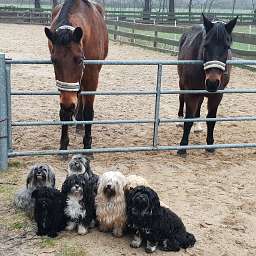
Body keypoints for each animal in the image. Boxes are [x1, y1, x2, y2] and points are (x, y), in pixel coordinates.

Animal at [44, 0, 108, 154]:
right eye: (54, 60)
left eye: (79, 60)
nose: (69, 105)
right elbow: (63, 112)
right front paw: (63, 145)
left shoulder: (92, 77)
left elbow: (89, 112)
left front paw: (87, 146)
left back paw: (79, 123)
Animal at [177, 14, 237, 154]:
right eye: (206, 45)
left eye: (227, 47)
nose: (212, 82)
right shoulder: (191, 93)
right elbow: (188, 119)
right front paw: (183, 146)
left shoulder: (217, 96)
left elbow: (211, 120)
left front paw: (210, 145)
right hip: (182, 84)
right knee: (181, 98)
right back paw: (180, 120)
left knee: (199, 105)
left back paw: (197, 125)